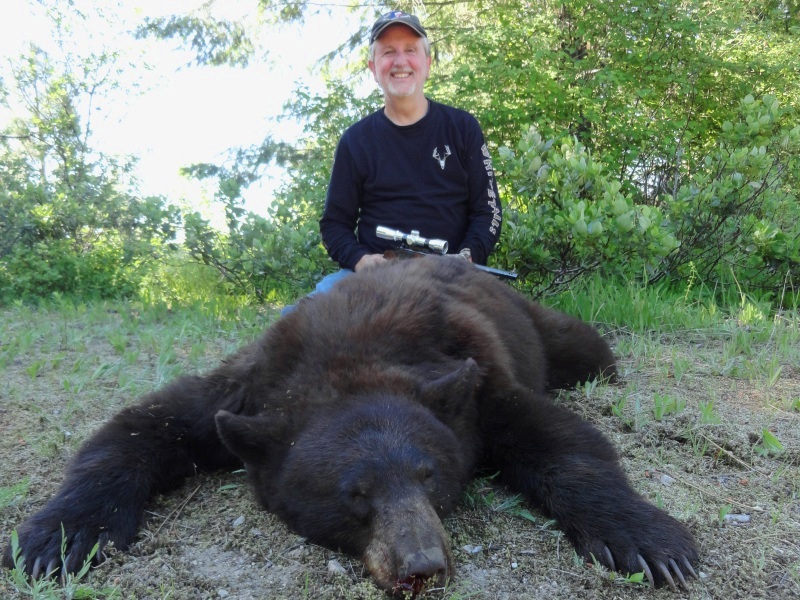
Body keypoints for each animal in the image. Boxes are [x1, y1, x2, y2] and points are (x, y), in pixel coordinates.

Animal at [3, 256, 696, 592]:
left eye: (430, 475)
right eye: (353, 495)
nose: (422, 564)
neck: (348, 362)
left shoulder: (475, 387)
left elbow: (565, 444)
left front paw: (648, 542)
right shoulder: (250, 385)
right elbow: (142, 426)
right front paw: (59, 538)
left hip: (546, 329)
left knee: (589, 349)